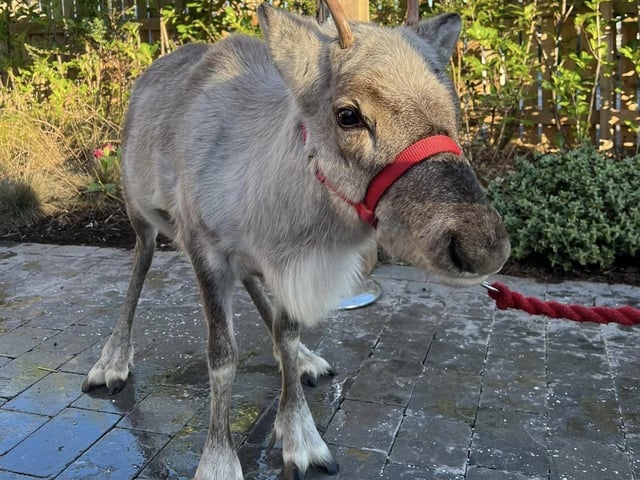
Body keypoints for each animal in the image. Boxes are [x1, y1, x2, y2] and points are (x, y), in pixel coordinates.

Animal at [81, 1, 511, 478]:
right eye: (348, 115)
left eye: (451, 108)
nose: (481, 245)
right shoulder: (204, 248)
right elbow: (221, 356)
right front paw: (218, 460)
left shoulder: (282, 259)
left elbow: (286, 333)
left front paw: (300, 433)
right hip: (138, 212)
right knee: (140, 262)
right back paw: (112, 360)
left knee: (252, 285)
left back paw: (306, 358)